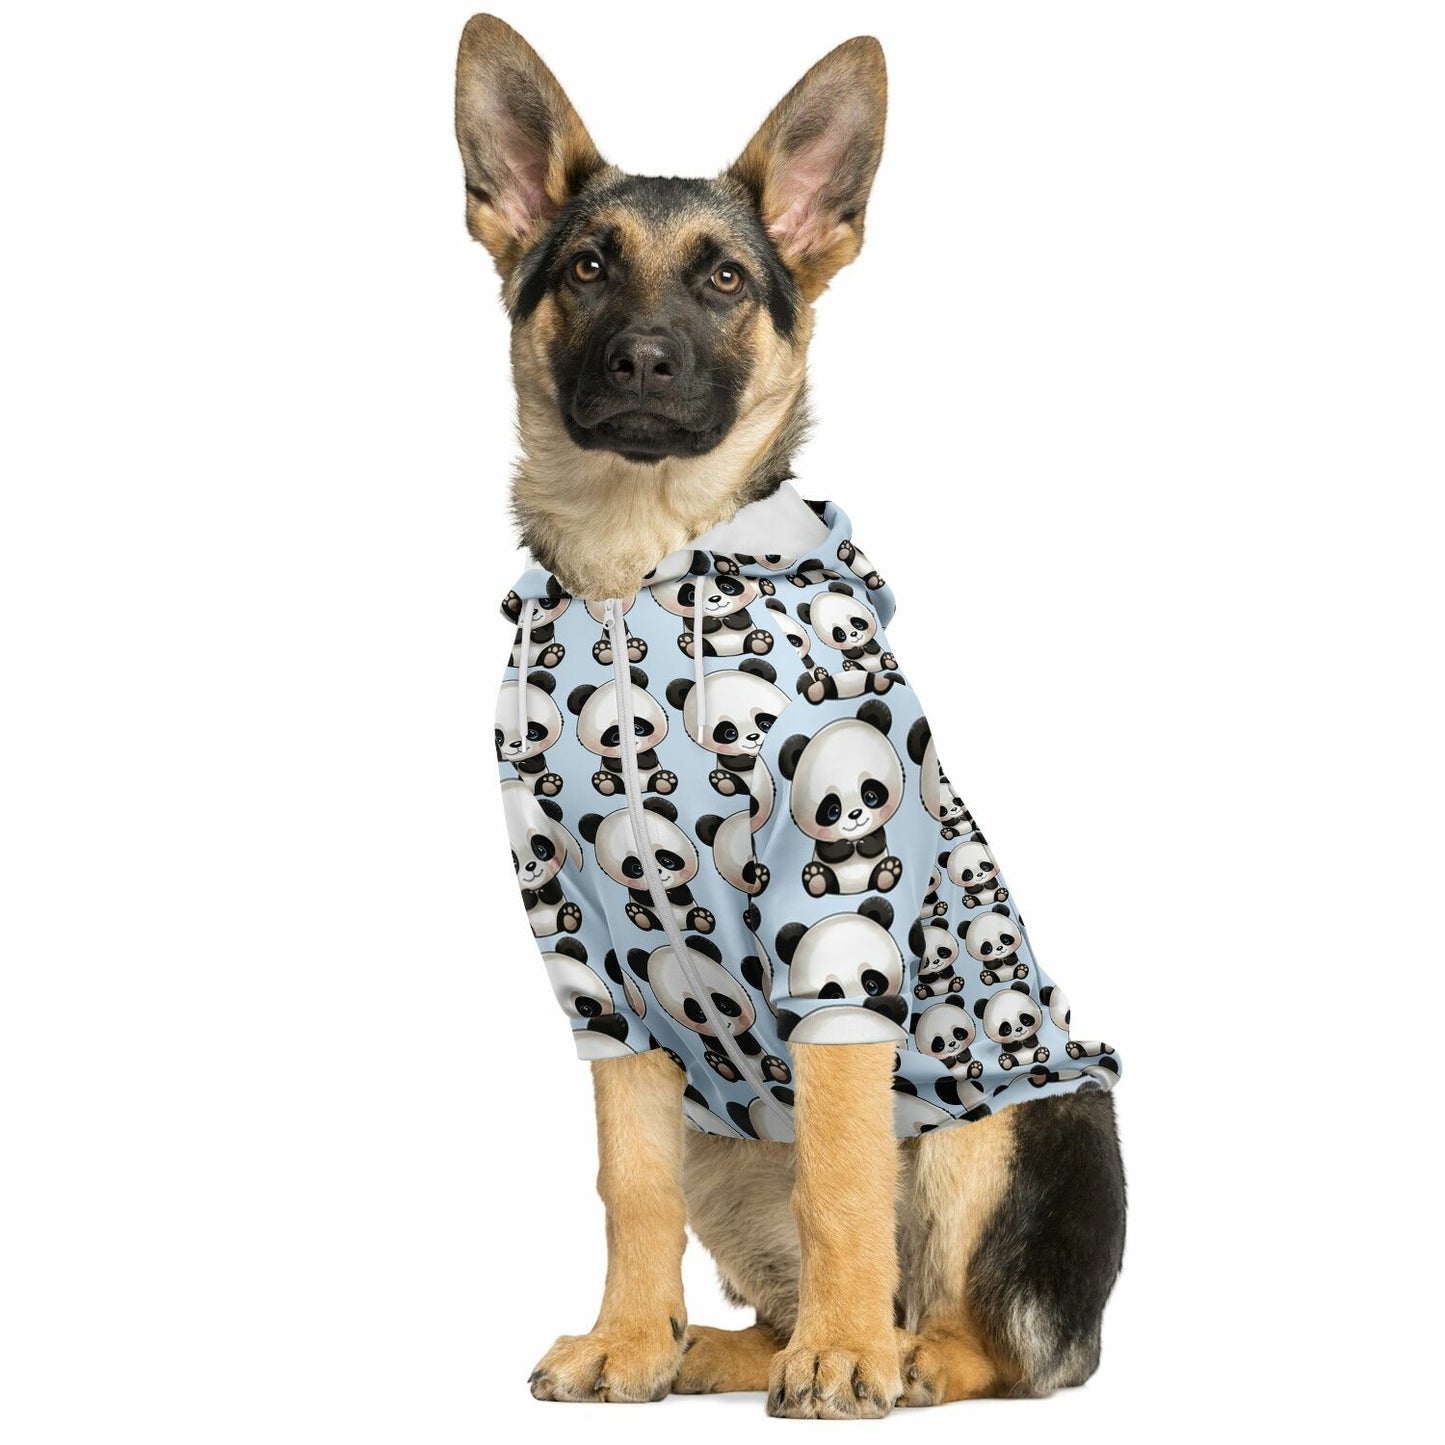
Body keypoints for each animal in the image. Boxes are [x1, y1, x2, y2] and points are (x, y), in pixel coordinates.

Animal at [567, 667, 676, 795]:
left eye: (637, 728)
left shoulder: (648, 752)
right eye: (615, 737)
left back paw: (664, 779)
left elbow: (650, 758)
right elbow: (613, 763)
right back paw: (604, 781)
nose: (633, 743)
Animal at [580, 798, 715, 935]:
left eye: (667, 861)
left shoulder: (681, 889)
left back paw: (701, 918)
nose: (657, 871)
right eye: (636, 869)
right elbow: (641, 896)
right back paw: (638, 915)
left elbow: (683, 896)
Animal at [627, 936, 790, 1086]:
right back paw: (720, 1064)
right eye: (699, 1013)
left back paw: (775, 1067)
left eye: (723, 1005)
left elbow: (749, 1044)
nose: (724, 1025)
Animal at [776, 699, 904, 897]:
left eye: (871, 796)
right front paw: (846, 846)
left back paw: (887, 871)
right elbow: (826, 849)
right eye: (832, 811)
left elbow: (878, 838)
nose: (855, 814)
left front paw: (864, 843)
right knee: (824, 875)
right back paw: (816, 877)